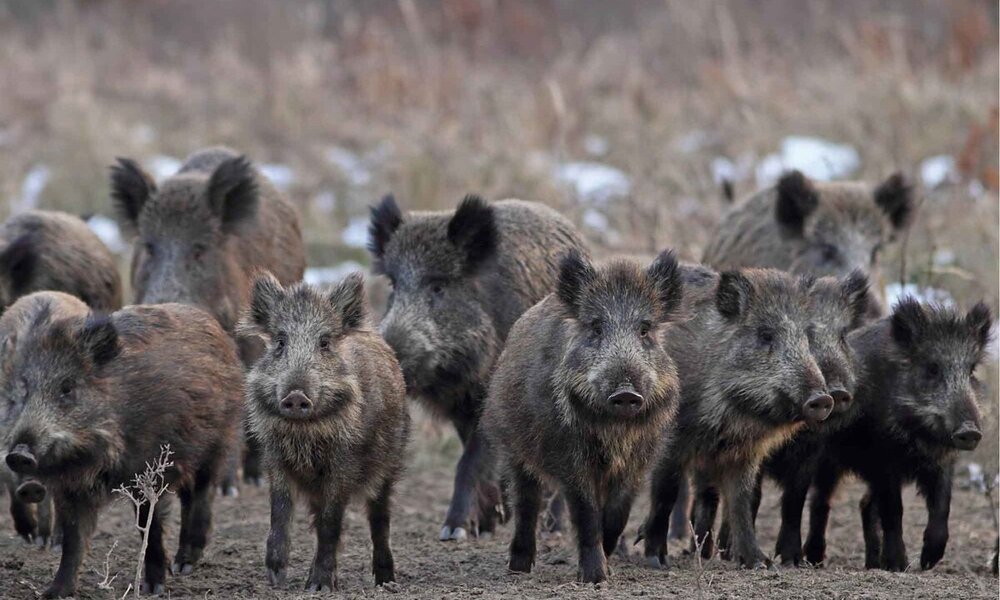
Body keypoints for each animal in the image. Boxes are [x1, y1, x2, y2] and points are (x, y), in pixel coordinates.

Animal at [242, 272, 410, 590]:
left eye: (324, 342)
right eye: (280, 341)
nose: (296, 396)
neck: (306, 434)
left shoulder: (345, 464)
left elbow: (332, 522)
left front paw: (319, 587)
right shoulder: (274, 457)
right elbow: (279, 511)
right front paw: (276, 577)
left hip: (390, 465)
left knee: (380, 520)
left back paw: (385, 581)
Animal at [368, 194, 588, 540]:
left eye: (439, 286)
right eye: (393, 284)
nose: (390, 358)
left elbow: (470, 461)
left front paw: (453, 531)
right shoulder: (460, 407)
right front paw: (484, 526)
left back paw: (551, 529)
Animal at [483, 250, 683, 583]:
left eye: (645, 329)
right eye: (596, 327)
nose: (626, 393)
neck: (615, 430)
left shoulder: (639, 459)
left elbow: (616, 514)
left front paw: (609, 565)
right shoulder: (568, 454)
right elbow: (586, 513)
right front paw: (595, 578)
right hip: (513, 446)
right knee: (526, 502)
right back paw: (519, 567)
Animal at [638, 267, 834, 569]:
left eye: (806, 338)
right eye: (766, 335)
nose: (823, 399)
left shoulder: (746, 452)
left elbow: (742, 500)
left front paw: (759, 562)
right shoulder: (671, 438)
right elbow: (665, 491)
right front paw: (656, 560)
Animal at [803, 298, 992, 571]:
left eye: (971, 371)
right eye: (932, 369)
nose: (970, 431)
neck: (919, 436)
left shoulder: (943, 462)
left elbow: (942, 506)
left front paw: (927, 562)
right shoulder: (884, 460)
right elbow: (894, 510)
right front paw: (900, 565)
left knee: (865, 504)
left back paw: (872, 564)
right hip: (827, 459)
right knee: (821, 500)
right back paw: (815, 560)